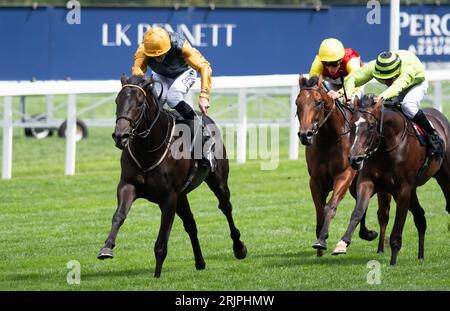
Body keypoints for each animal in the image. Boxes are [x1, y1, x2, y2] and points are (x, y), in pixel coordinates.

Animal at [96, 75, 248, 278]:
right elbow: (119, 215)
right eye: (117, 101)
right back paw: (200, 262)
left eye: (139, 103)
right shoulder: (128, 186)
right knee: (191, 224)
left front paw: (157, 275)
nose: (121, 136)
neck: (150, 149)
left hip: (218, 180)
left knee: (225, 207)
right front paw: (106, 248)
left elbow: (162, 237)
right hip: (182, 196)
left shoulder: (169, 197)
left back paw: (239, 248)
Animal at [296, 75, 390, 256]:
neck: (330, 139)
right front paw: (320, 243)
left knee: (383, 214)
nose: (305, 134)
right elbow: (320, 210)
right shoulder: (315, 180)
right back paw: (366, 233)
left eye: (318, 102)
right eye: (298, 103)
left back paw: (380, 247)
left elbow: (330, 207)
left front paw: (322, 240)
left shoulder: (344, 175)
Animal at [332, 95, 450, 266]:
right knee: (420, 217)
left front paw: (393, 259)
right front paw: (343, 243)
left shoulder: (403, 189)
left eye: (371, 126)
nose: (355, 159)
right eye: (352, 125)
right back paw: (421, 255)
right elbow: (358, 212)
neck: (387, 147)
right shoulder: (367, 182)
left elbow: (398, 223)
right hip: (413, 190)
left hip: (443, 176)